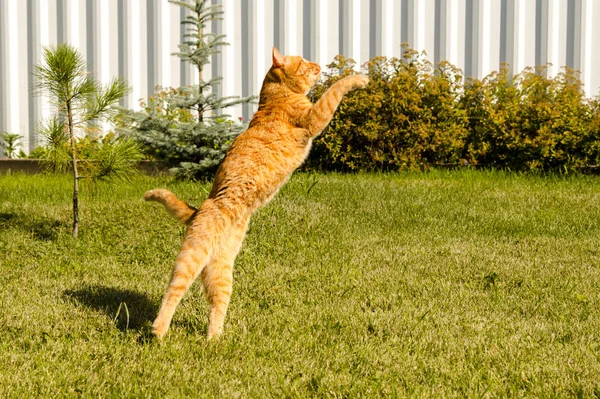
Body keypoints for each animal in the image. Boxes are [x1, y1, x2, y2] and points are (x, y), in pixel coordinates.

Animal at [148, 47, 368, 340]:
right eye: (304, 61)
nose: (317, 64)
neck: (276, 98)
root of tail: (199, 208)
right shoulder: (315, 116)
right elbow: (337, 88)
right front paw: (359, 79)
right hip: (191, 258)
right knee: (173, 292)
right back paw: (159, 330)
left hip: (221, 271)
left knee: (217, 305)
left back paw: (214, 340)